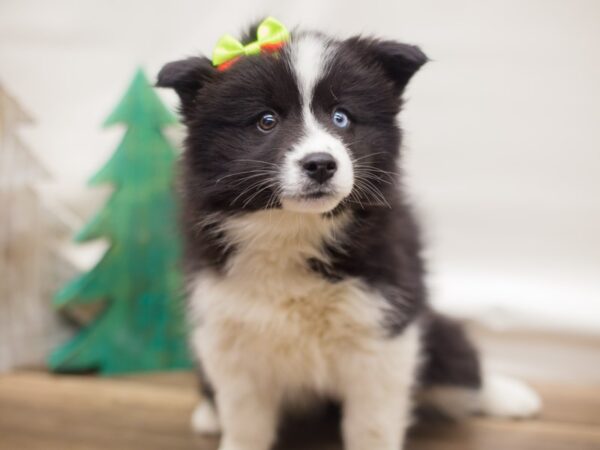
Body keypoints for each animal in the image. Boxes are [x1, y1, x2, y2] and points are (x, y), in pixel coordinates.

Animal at [157, 18, 540, 450]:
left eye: (341, 118)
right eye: (266, 121)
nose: (321, 164)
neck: (294, 228)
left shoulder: (384, 324)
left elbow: (371, 422)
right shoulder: (228, 326)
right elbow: (245, 417)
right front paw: (233, 433)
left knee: (460, 365)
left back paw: (509, 394)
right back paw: (209, 414)